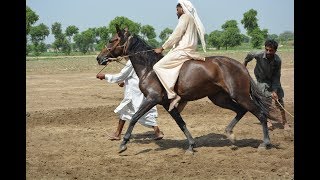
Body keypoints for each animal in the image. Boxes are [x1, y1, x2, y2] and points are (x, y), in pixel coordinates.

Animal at [95, 25, 278, 153]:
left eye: (111, 40)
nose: (99, 58)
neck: (150, 68)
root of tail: (241, 66)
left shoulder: (152, 99)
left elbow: (134, 118)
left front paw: (123, 144)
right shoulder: (167, 104)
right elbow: (181, 122)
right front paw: (191, 145)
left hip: (240, 95)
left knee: (260, 114)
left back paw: (265, 143)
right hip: (219, 98)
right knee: (240, 111)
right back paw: (230, 135)